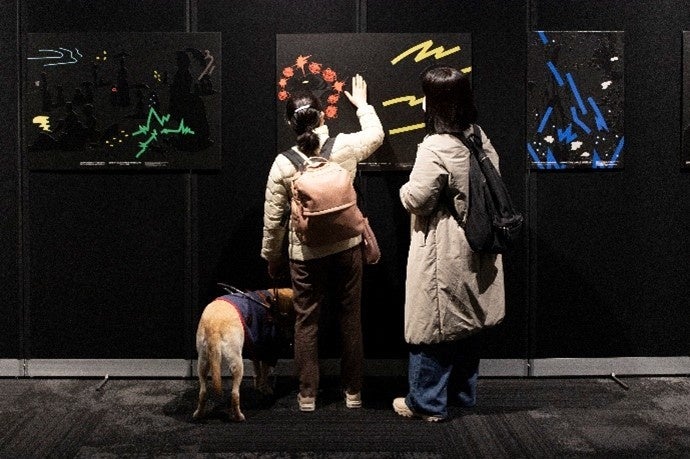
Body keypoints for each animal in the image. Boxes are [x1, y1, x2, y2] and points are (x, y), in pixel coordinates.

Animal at [193, 286, 295, 422]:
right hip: (236, 363)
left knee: (203, 392)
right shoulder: (266, 348)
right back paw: (238, 416)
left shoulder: (255, 347)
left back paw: (199, 414)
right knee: (235, 394)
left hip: (203, 362)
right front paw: (266, 389)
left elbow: (257, 370)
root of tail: (214, 325)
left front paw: (259, 385)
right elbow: (265, 372)